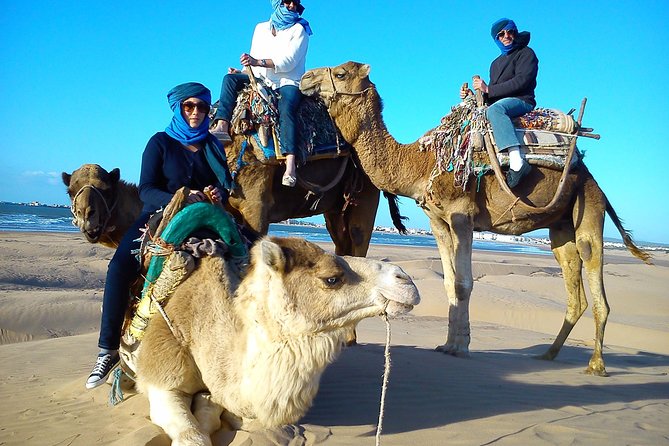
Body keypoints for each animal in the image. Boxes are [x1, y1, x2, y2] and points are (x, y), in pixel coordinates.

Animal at [299, 61, 652, 376]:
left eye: (341, 73)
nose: (305, 78)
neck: (423, 162)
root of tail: (593, 180)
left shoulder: (462, 215)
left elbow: (464, 283)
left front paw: (461, 347)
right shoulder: (438, 220)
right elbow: (450, 283)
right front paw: (446, 344)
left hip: (588, 207)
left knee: (594, 269)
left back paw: (596, 365)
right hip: (561, 225)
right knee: (572, 281)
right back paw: (548, 354)